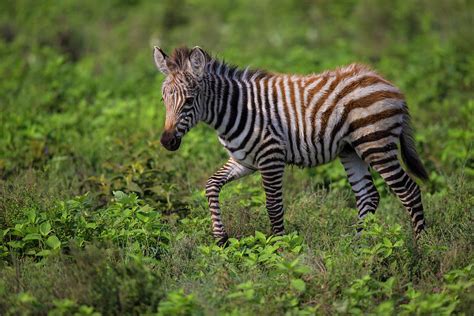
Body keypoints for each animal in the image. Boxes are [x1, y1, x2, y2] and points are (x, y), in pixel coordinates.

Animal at [154, 45, 428, 246]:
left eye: (189, 100)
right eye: (163, 98)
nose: (167, 142)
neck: (236, 108)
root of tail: (387, 82)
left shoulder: (271, 156)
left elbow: (273, 205)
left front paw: (279, 250)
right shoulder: (244, 161)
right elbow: (211, 185)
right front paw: (221, 239)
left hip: (376, 144)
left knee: (409, 191)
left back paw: (422, 247)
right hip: (352, 150)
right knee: (368, 196)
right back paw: (358, 248)